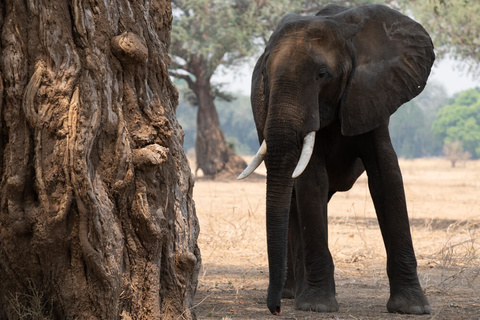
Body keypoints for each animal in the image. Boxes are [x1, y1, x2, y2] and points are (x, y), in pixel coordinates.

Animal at [238, 3, 436, 316]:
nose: (274, 310)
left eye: (322, 74)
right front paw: (317, 306)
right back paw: (293, 293)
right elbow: (311, 181)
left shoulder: (371, 95)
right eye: (266, 77)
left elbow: (387, 177)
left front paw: (412, 308)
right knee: (292, 196)